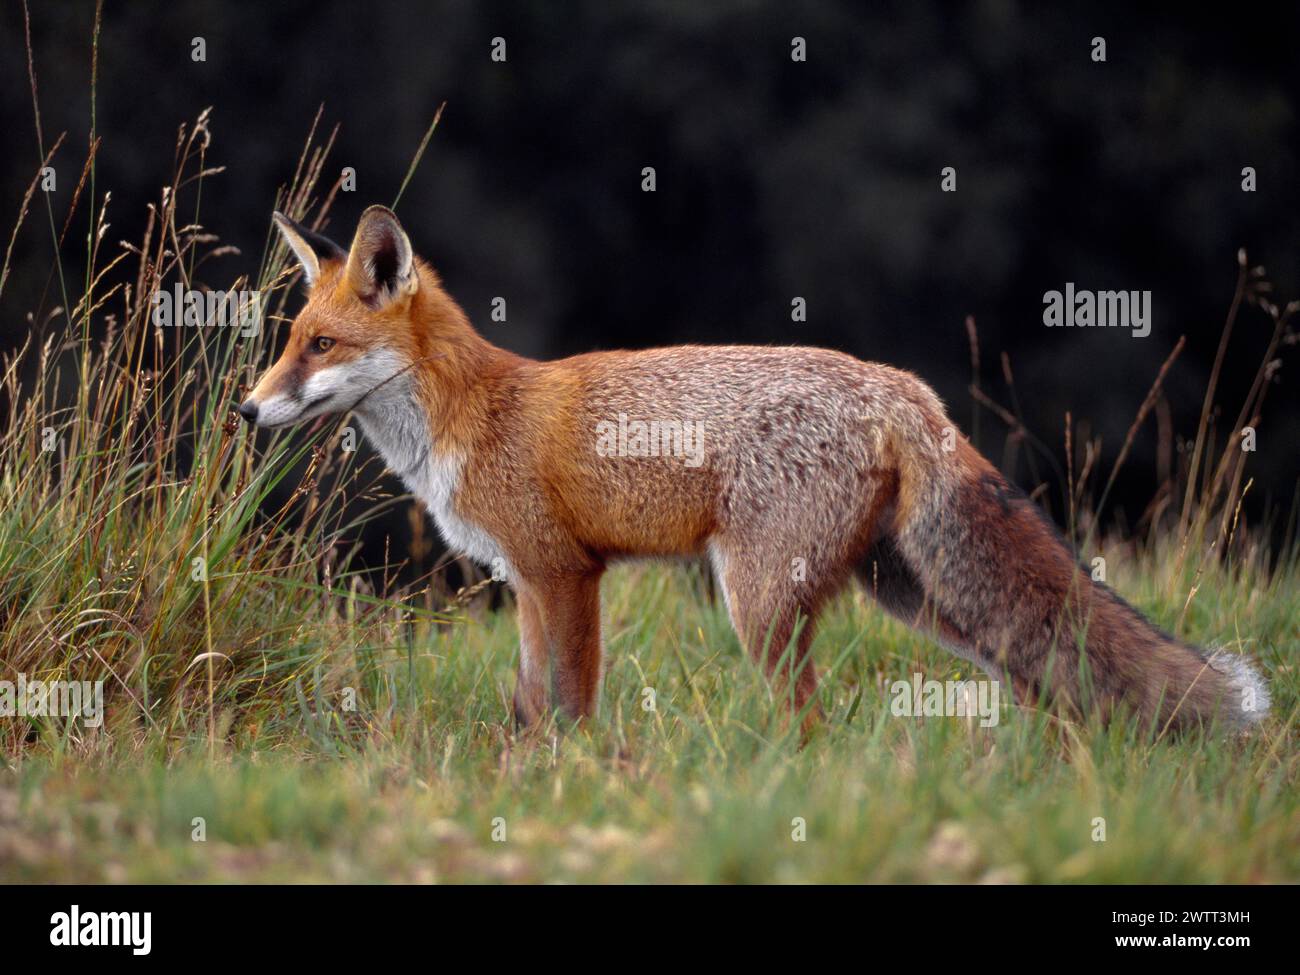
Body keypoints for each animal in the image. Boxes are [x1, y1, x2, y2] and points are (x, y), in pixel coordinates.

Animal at [244, 208, 1268, 738]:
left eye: (321, 346)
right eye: (288, 341)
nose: (248, 410)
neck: (475, 414)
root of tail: (906, 388)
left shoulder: (564, 574)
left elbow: (570, 705)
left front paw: (570, 779)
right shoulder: (528, 581)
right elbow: (532, 704)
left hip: (762, 600)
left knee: (812, 724)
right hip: (918, 598)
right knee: (1044, 678)